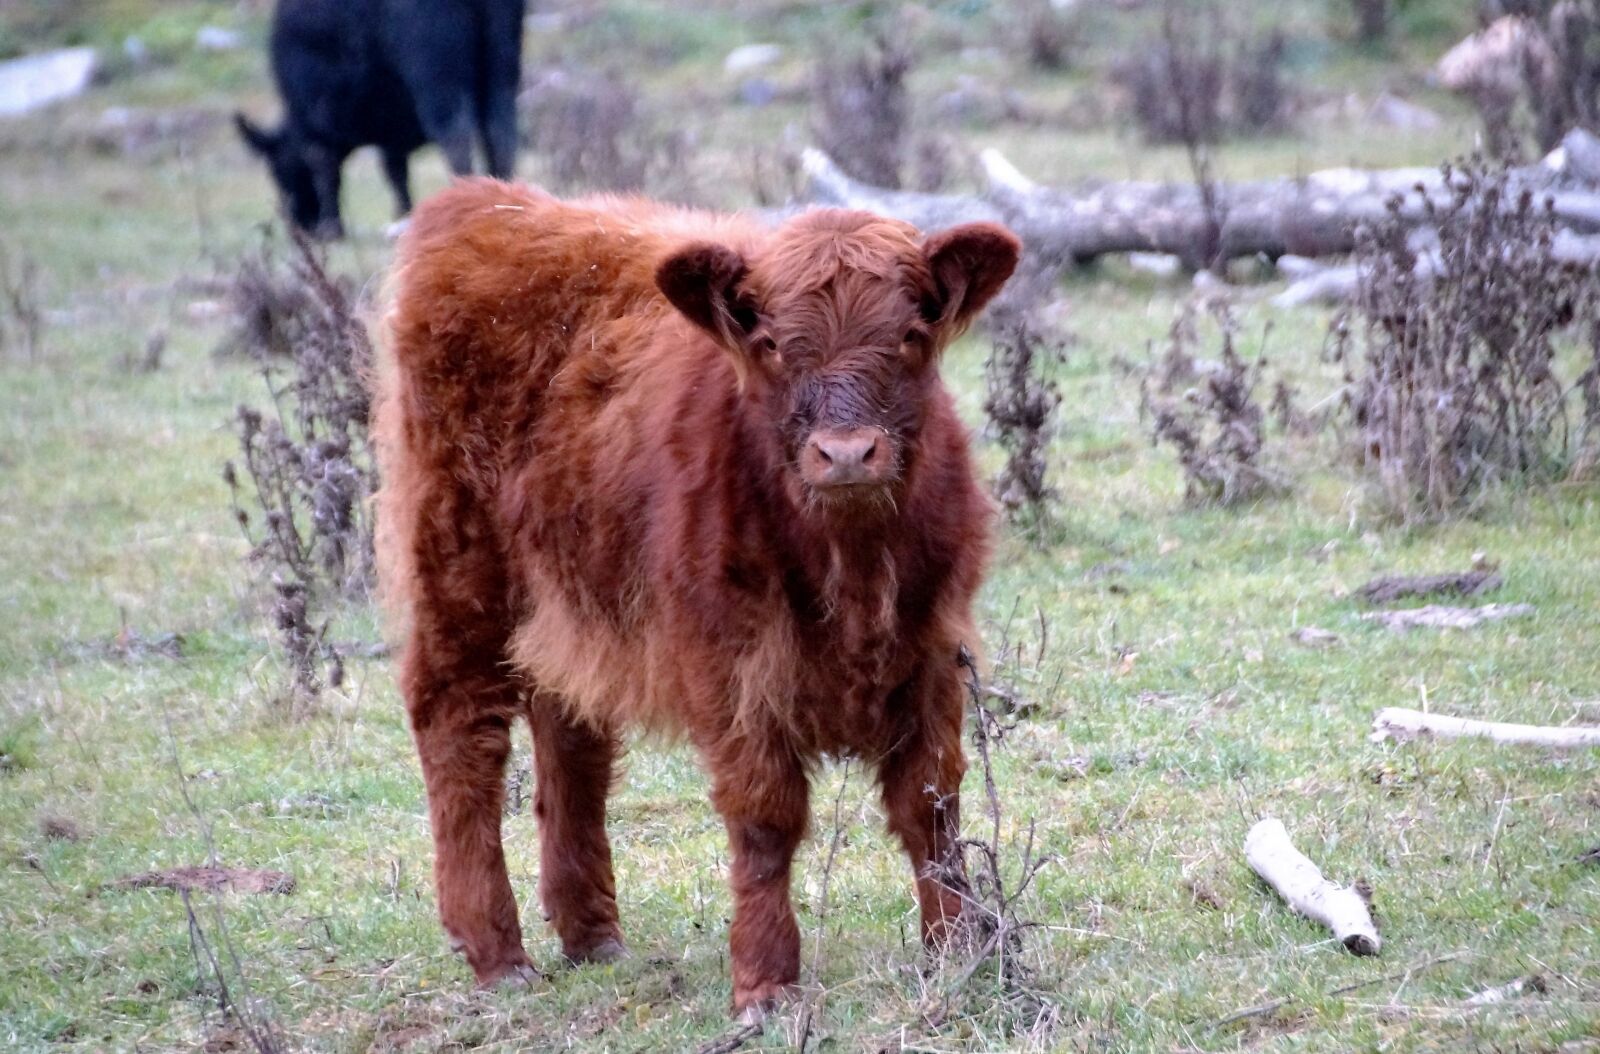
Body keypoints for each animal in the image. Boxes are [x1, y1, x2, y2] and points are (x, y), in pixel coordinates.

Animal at [235, 0, 525, 239]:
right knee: (500, 132)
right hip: (501, 67)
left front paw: (333, 228)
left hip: (438, 78)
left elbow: (328, 170)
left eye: (280, 172)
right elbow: (396, 171)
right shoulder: (390, 130)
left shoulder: (317, 126)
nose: (303, 227)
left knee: (456, 136)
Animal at [374, 179, 1019, 1014]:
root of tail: (490, 203)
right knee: (461, 729)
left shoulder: (935, 650)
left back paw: (592, 934)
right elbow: (766, 818)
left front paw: (956, 953)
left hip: (572, 597)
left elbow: (931, 807)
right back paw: (497, 950)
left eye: (911, 334)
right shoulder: (735, 667)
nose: (846, 454)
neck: (850, 567)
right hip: (460, 579)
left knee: (571, 737)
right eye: (773, 344)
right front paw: (766, 980)